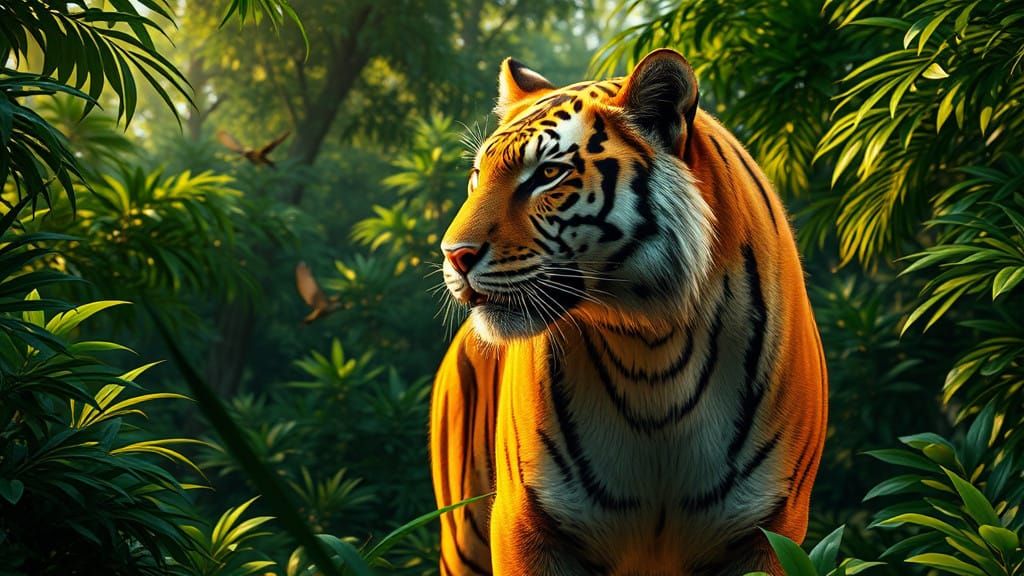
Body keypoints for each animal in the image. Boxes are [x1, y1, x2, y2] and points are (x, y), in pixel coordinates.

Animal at [430, 48, 827, 576]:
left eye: (547, 175)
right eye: (477, 177)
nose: (453, 255)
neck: (651, 348)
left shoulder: (770, 529)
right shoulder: (524, 520)